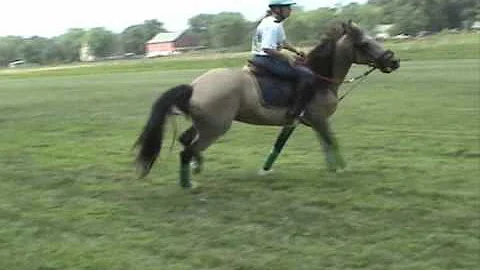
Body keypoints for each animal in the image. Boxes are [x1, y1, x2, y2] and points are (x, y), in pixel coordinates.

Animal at [133, 20, 400, 188]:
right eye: (365, 44)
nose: (393, 61)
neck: (319, 78)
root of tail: (194, 86)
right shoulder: (319, 119)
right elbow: (331, 141)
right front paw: (342, 169)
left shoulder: (303, 122)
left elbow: (294, 146)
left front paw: (332, 169)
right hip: (215, 128)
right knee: (188, 150)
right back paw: (190, 184)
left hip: (203, 124)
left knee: (186, 141)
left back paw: (196, 169)